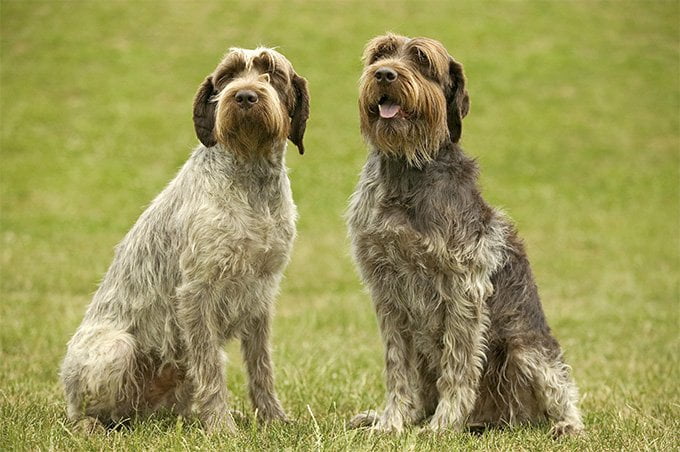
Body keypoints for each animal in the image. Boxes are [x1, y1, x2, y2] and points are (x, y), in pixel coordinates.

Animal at [61, 47, 310, 432]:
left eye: (272, 71)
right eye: (228, 75)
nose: (244, 96)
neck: (252, 180)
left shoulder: (262, 293)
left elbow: (261, 366)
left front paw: (273, 419)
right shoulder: (197, 292)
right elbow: (211, 367)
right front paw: (222, 427)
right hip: (116, 348)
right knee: (82, 413)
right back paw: (91, 426)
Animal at [346, 34, 584, 438]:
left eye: (422, 59)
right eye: (381, 53)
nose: (384, 74)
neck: (407, 171)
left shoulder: (463, 287)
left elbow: (458, 367)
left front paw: (442, 426)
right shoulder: (386, 290)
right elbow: (398, 369)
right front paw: (391, 422)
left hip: (527, 350)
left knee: (562, 391)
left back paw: (566, 425)